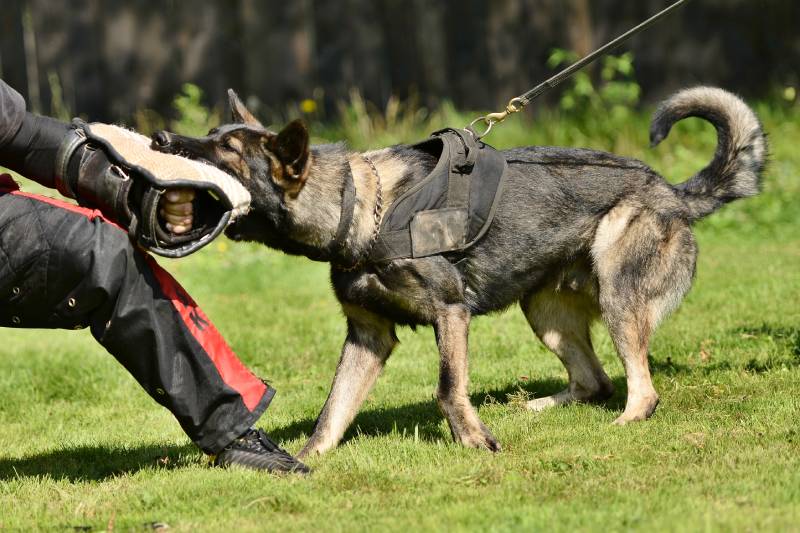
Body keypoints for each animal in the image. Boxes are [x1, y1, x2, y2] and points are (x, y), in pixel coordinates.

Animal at [153, 87, 764, 458]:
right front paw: (308, 461)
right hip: (545, 316)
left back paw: (622, 425)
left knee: (640, 388)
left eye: (226, 151)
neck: (363, 208)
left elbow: (449, 388)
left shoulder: (451, 315)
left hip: (618, 298)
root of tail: (671, 192)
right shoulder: (368, 337)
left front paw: (473, 441)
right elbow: (333, 410)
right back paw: (540, 407)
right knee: (595, 381)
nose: (159, 138)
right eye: (209, 134)